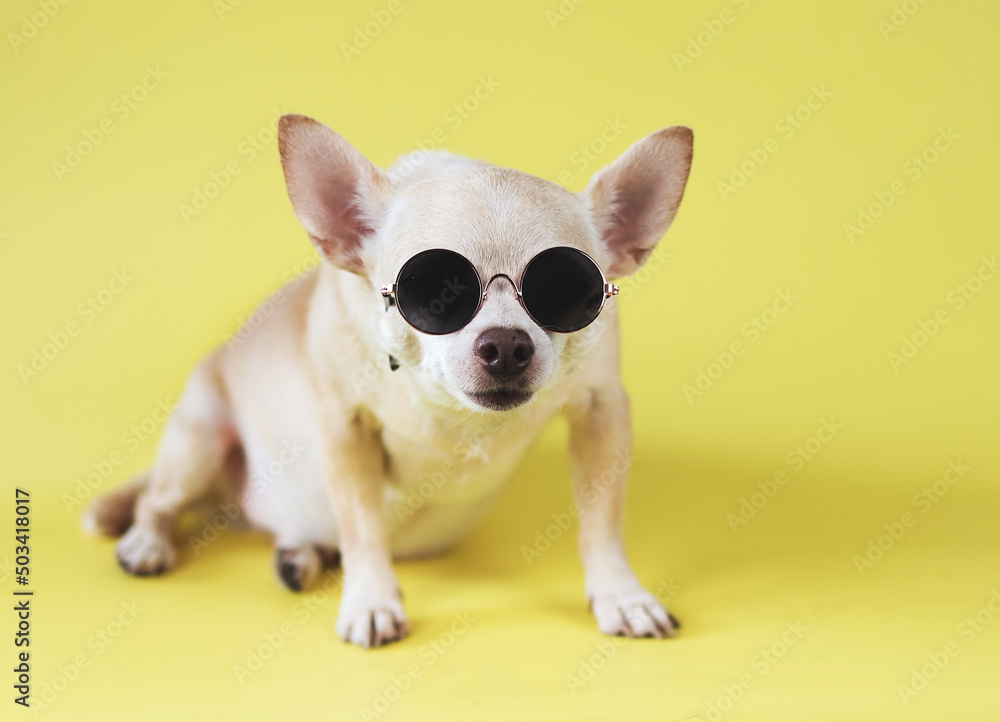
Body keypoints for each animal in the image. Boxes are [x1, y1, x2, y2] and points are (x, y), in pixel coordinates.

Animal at [86, 112, 692, 648]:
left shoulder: (601, 409)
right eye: (435, 293)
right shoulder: (345, 429)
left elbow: (601, 521)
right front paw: (371, 602)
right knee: (158, 500)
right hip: (199, 440)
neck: (455, 412)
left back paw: (298, 556)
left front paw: (621, 597)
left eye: (569, 293)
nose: (506, 344)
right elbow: (362, 528)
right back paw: (147, 542)